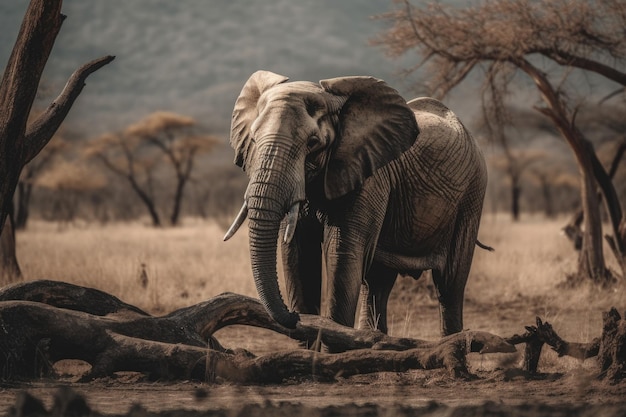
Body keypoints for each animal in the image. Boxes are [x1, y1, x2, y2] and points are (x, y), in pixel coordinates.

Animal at [224, 71, 488, 338]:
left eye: (312, 143)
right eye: (253, 139)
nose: (294, 316)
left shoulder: (369, 174)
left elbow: (342, 254)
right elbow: (298, 254)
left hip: (472, 194)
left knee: (450, 283)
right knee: (377, 282)